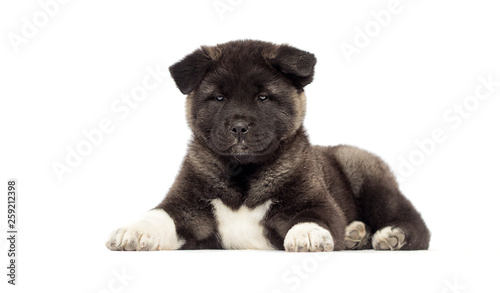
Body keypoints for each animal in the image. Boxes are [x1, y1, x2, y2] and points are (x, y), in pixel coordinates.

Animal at [104, 39, 430, 251]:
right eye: (219, 97)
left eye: (263, 97)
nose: (239, 127)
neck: (243, 174)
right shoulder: (185, 205)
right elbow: (158, 215)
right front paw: (132, 231)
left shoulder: (317, 202)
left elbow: (314, 216)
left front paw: (307, 234)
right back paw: (356, 234)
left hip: (365, 173)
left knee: (415, 221)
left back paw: (391, 235)